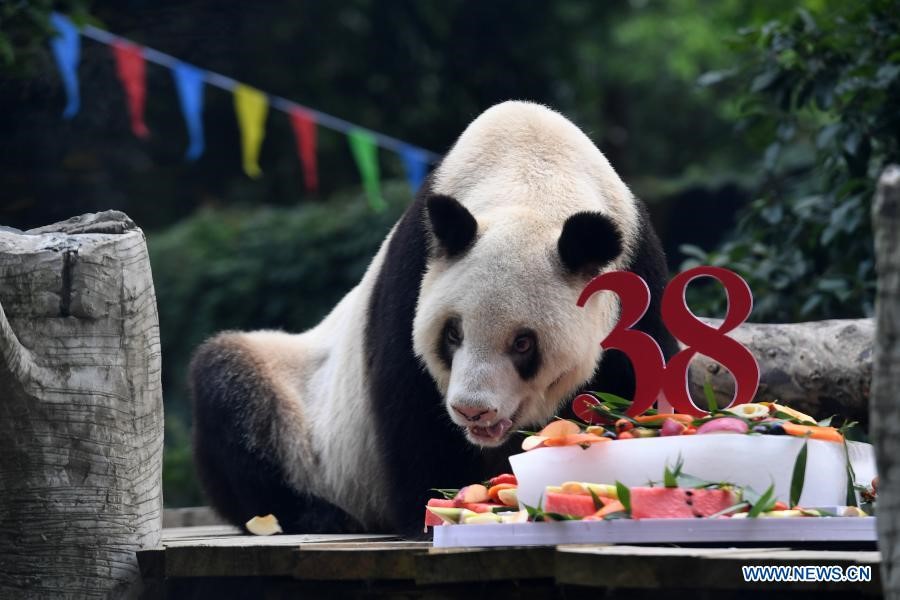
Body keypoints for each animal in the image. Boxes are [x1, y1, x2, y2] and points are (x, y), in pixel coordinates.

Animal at [190, 101, 678, 536]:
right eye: (453, 333)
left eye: (523, 343)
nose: (472, 410)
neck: (531, 177)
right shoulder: (416, 268)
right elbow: (412, 402)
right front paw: (434, 506)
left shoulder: (635, 271)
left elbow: (640, 377)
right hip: (300, 415)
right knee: (229, 388)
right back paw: (317, 515)